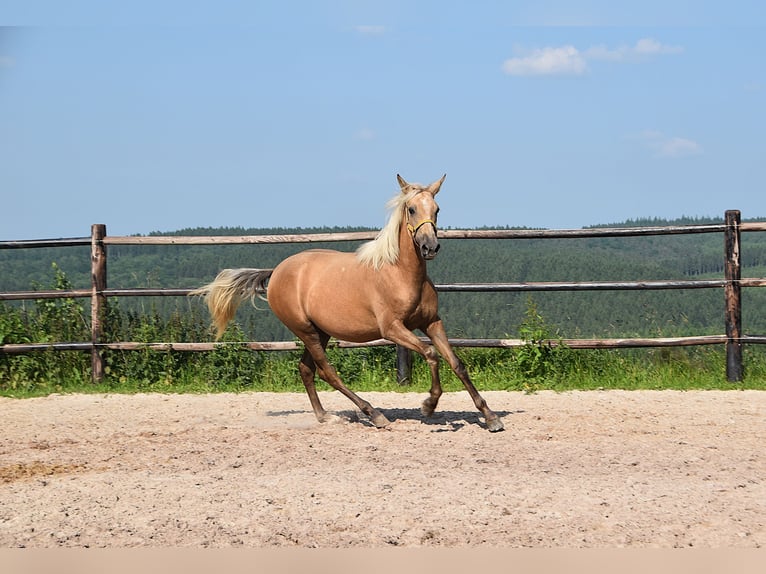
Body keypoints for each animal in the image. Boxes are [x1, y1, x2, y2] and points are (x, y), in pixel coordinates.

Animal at [191, 174, 504, 432]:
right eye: (412, 209)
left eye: (437, 209)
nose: (430, 247)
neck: (400, 273)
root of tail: (277, 271)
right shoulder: (392, 329)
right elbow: (431, 354)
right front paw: (428, 405)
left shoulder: (431, 323)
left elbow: (456, 363)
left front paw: (490, 418)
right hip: (306, 331)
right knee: (327, 371)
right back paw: (374, 415)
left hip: (320, 332)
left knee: (306, 369)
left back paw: (325, 416)